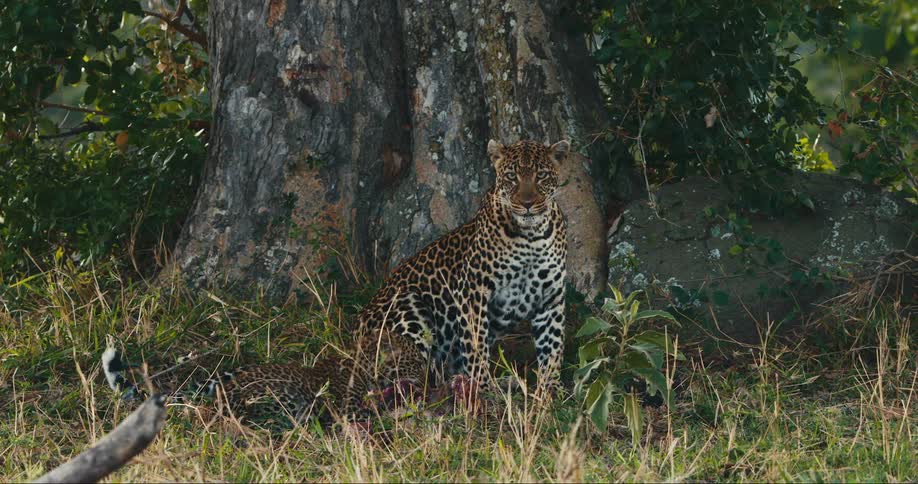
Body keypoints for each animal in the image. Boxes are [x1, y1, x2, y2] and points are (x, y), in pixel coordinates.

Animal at [102, 327, 428, 430]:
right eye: (416, 364)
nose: (429, 382)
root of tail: (224, 392)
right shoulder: (348, 409)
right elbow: (374, 411)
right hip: (281, 398)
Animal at [356, 138, 570, 393]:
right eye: (511, 176)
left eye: (541, 175)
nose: (527, 204)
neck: (531, 235)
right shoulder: (472, 290)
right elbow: (475, 344)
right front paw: (483, 389)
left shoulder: (551, 297)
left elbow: (553, 345)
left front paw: (551, 390)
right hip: (407, 304)